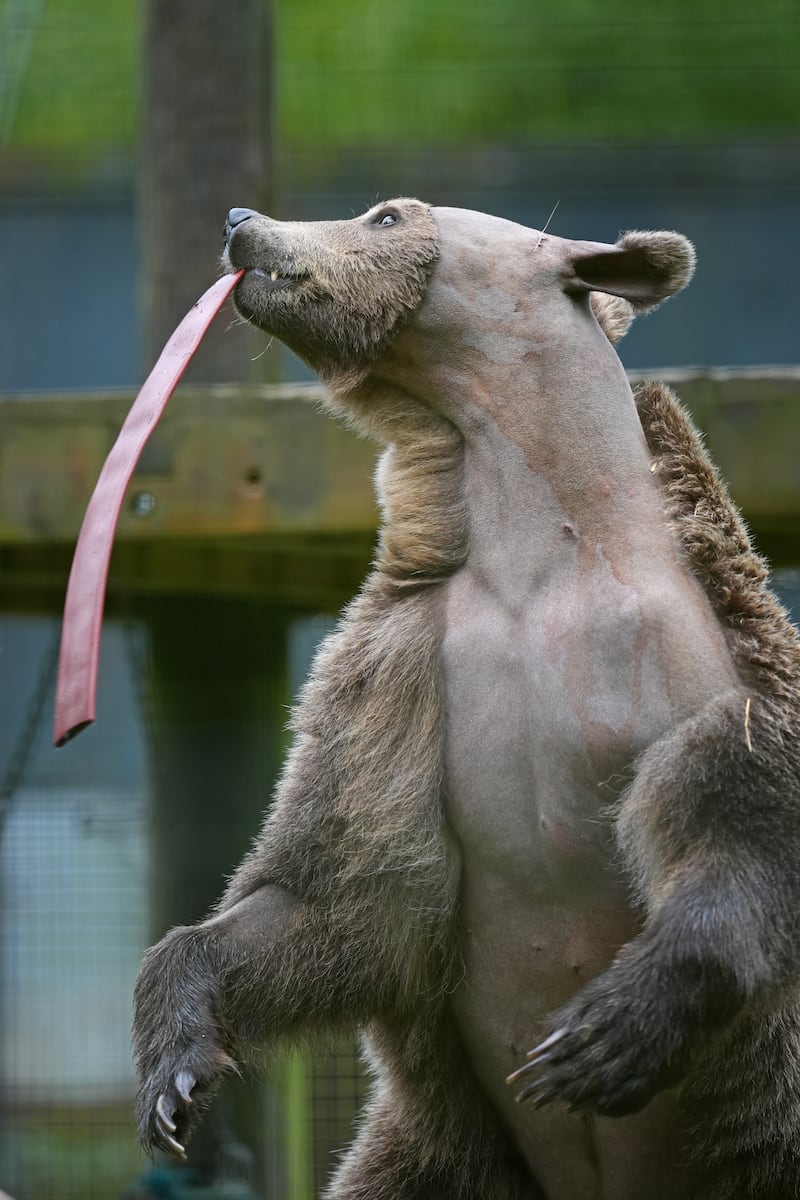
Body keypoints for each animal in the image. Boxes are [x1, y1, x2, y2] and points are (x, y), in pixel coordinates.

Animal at [134, 201, 800, 1195]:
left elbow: (739, 819)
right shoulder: (401, 685)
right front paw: (174, 1076)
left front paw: (602, 1035)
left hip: (759, 1140)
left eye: (386, 214)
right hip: (448, 1150)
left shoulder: (713, 673)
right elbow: (336, 894)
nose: (242, 220)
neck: (543, 556)